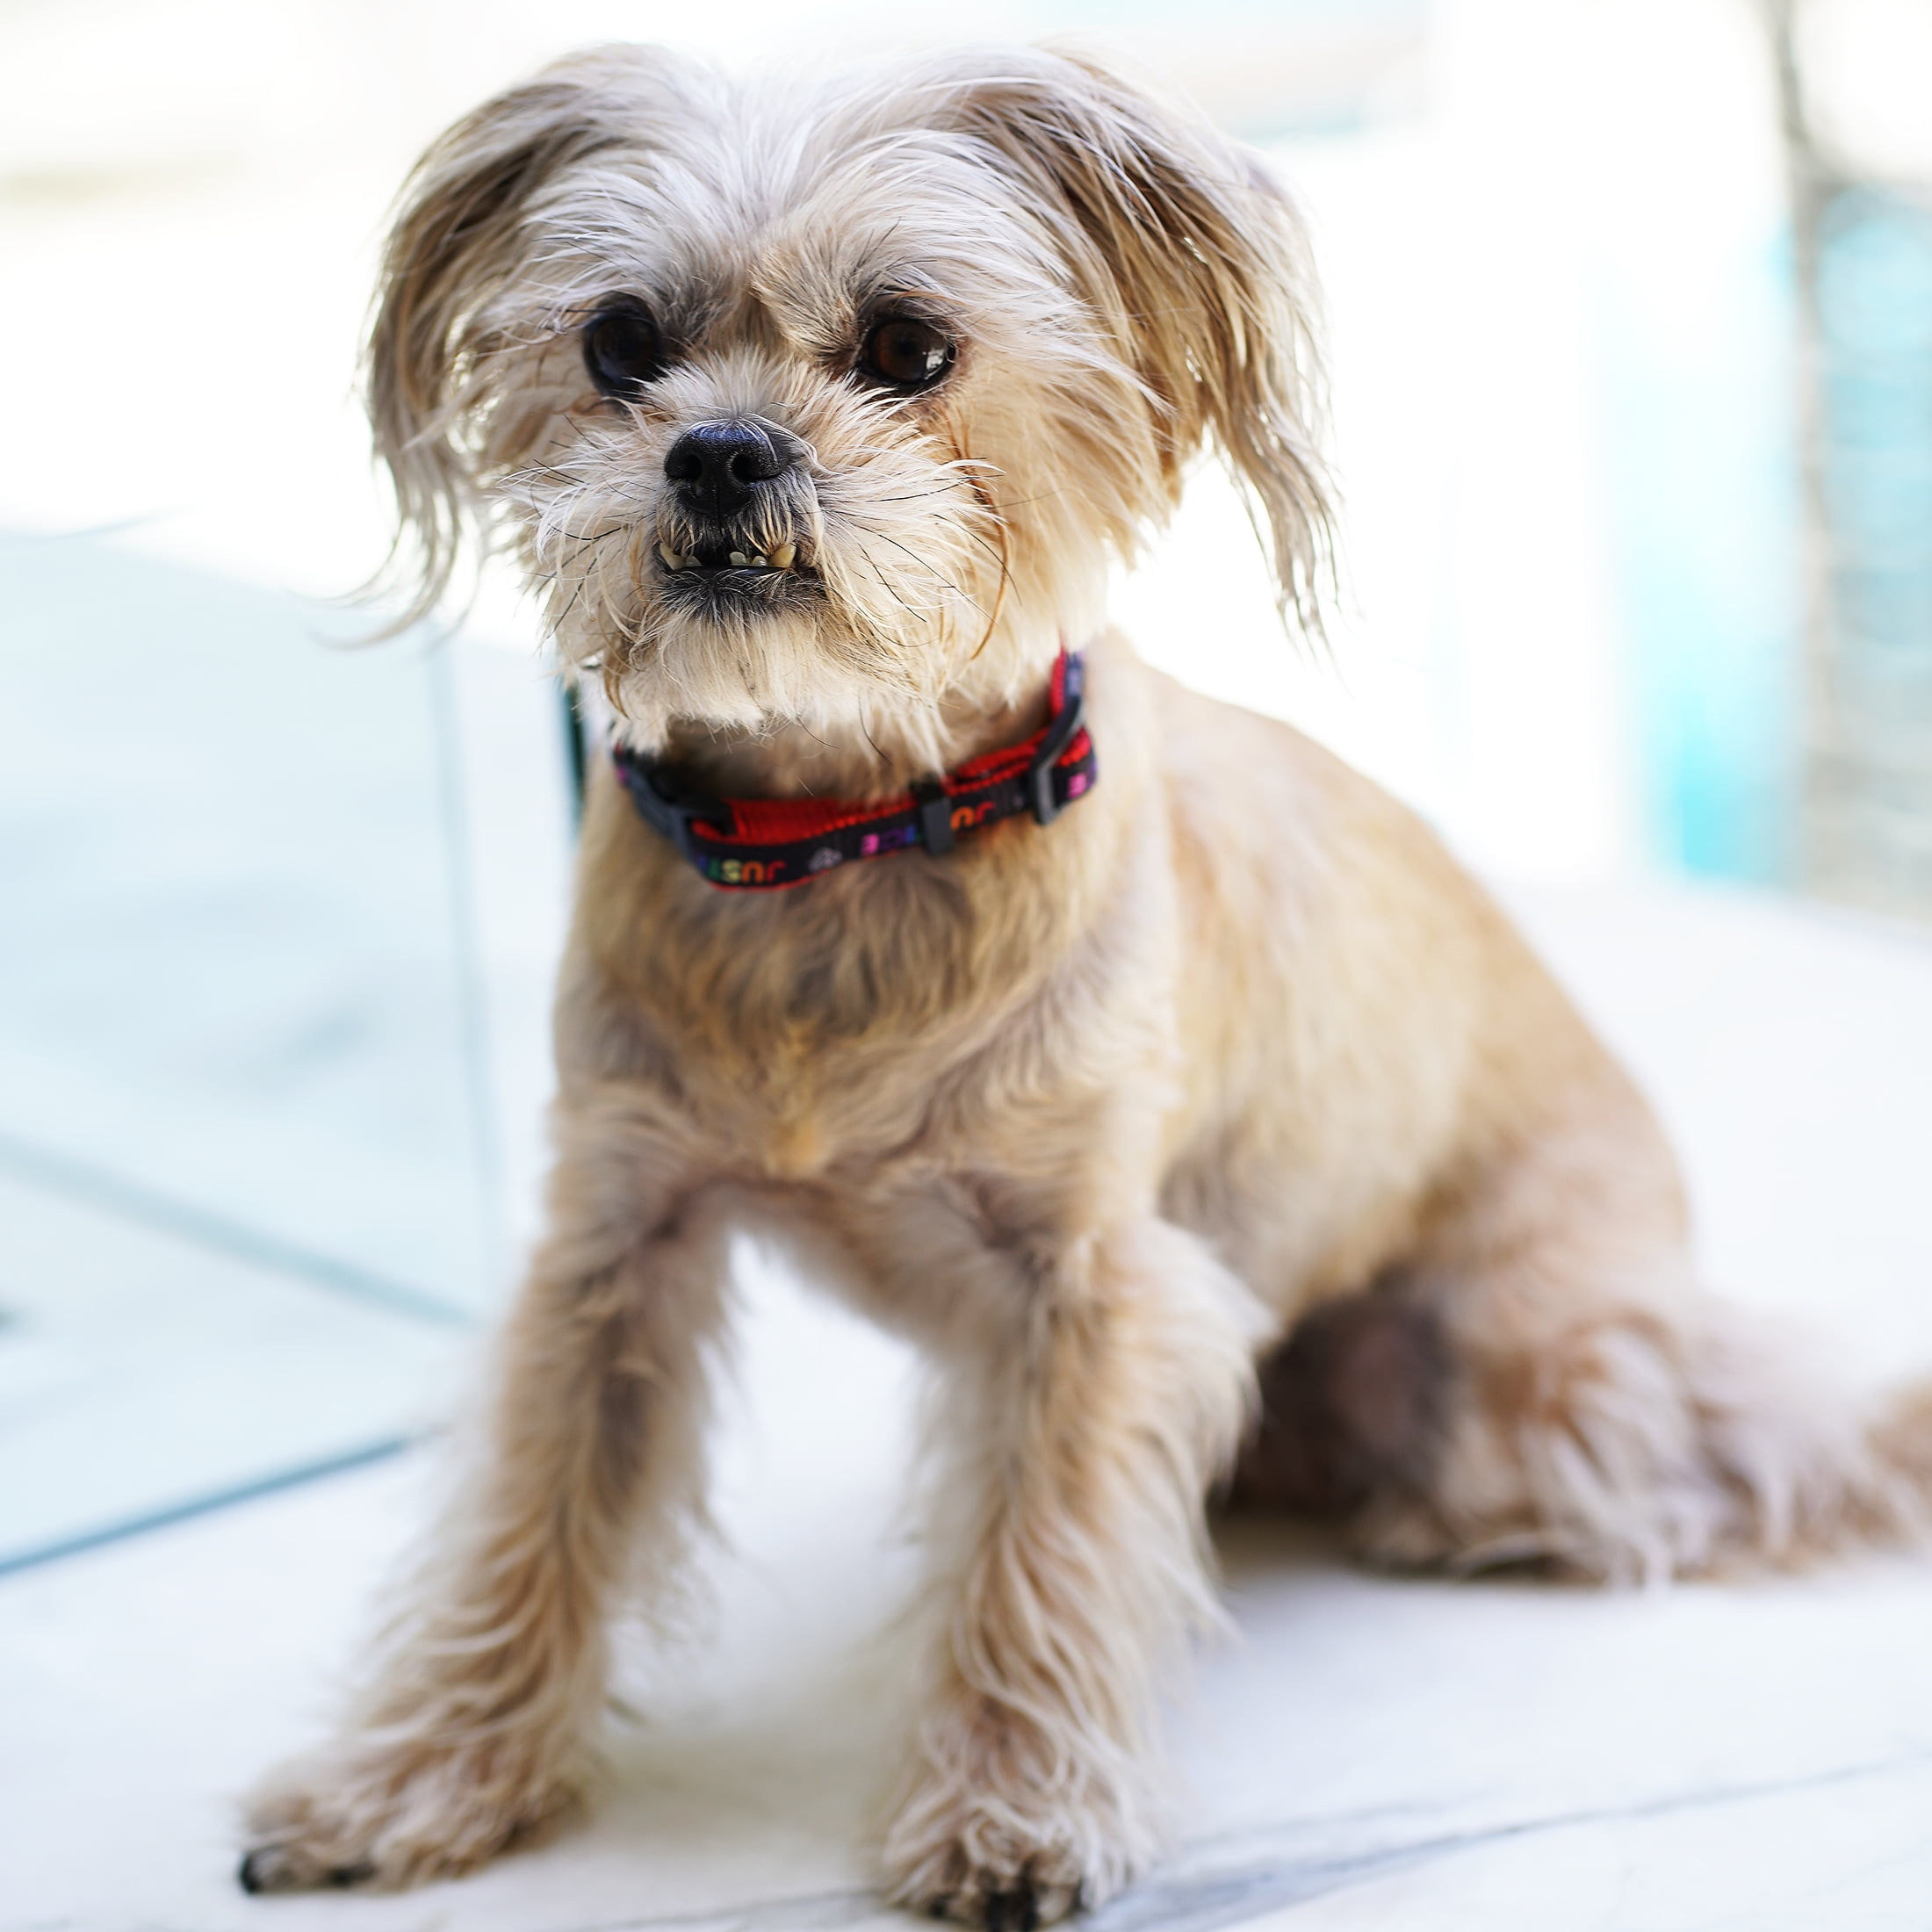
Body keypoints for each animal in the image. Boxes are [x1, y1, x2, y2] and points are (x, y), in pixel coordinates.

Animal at [237, 37, 1932, 1924]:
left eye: (910, 348)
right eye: (617, 342)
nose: (721, 450)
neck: (836, 842)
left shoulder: (1093, 1288)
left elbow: (1037, 1563)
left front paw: (1010, 1814)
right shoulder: (613, 1244)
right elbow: (528, 1516)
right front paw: (420, 1776)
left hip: (1519, 1362)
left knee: (1685, 1471)